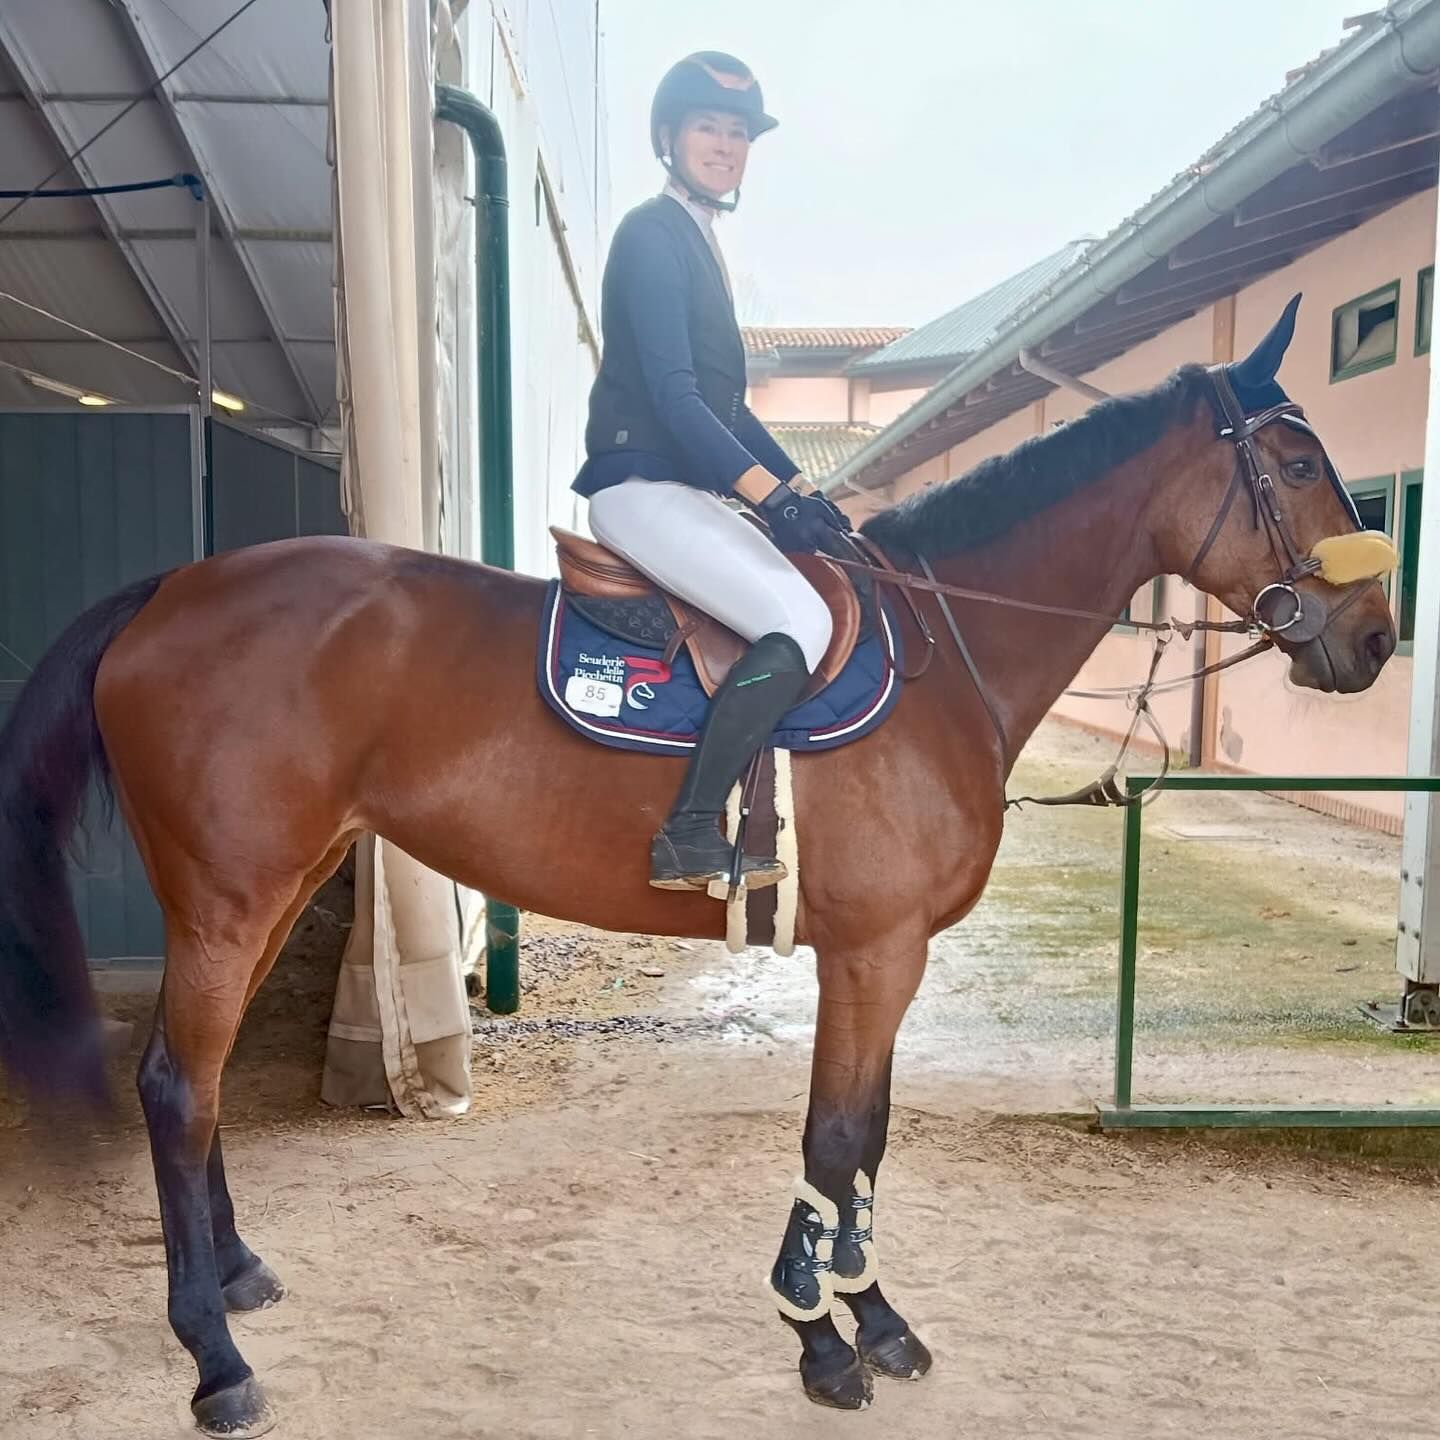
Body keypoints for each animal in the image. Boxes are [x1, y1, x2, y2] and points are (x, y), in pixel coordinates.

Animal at [0, 297, 1396, 1434]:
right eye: (1295, 462)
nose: (1378, 639)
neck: (946, 653)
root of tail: (170, 590)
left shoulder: (884, 957)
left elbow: (866, 1137)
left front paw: (865, 1317)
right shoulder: (875, 950)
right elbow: (838, 1134)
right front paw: (822, 1336)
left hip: (284, 885)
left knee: (202, 1083)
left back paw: (236, 1276)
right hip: (230, 899)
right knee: (176, 1087)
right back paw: (215, 1358)